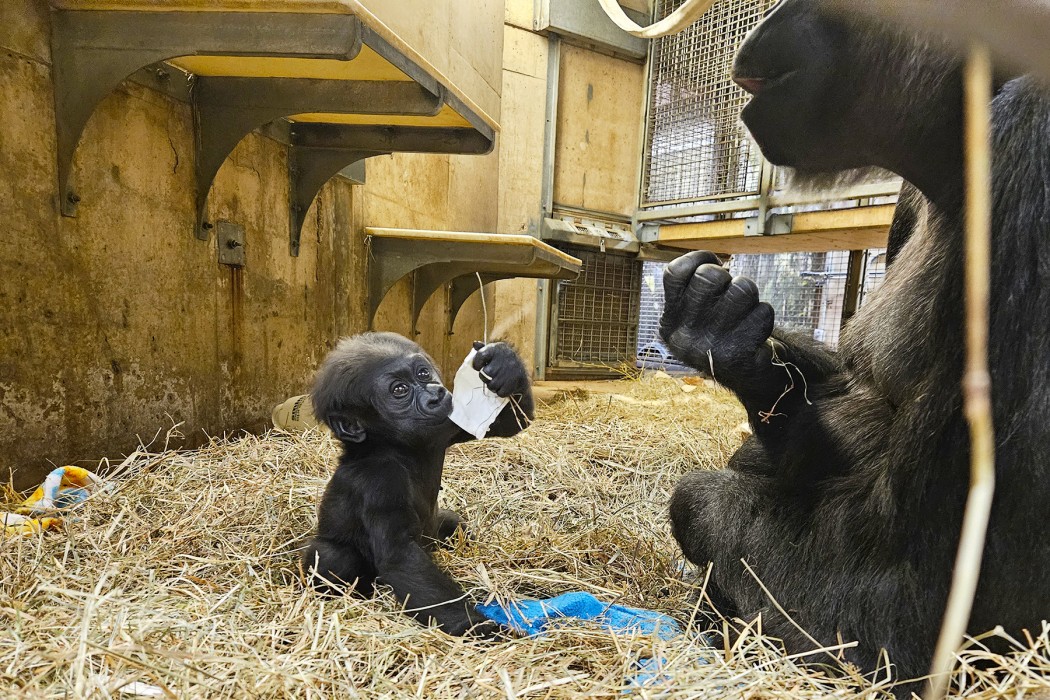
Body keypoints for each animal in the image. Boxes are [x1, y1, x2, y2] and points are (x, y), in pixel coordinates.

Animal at [302, 331, 533, 638]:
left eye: (423, 373)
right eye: (399, 390)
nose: (435, 394)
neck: (392, 445)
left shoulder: (445, 423)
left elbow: (511, 422)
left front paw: (503, 363)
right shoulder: (380, 479)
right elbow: (401, 556)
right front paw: (478, 629)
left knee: (453, 523)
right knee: (332, 557)